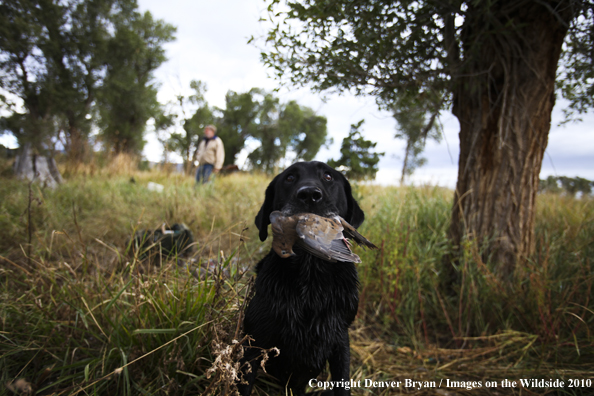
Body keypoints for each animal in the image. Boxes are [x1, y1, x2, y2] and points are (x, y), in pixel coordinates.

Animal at [238, 162, 364, 396]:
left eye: (328, 176)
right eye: (289, 178)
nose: (309, 195)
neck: (311, 273)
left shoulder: (340, 337)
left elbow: (342, 382)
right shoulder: (255, 339)